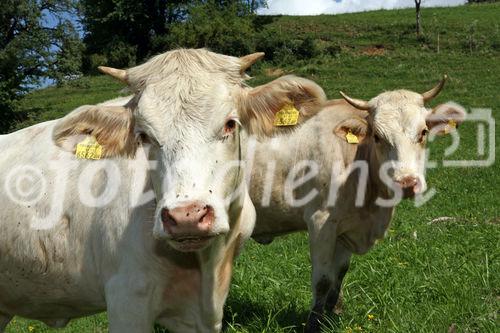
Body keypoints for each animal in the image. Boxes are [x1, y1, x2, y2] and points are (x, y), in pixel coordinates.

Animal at [248, 76, 466, 330]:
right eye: (377, 137)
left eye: (423, 132)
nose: (407, 183)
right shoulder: (321, 223)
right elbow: (323, 280)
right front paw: (314, 322)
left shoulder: (347, 229)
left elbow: (340, 274)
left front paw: (332, 314)